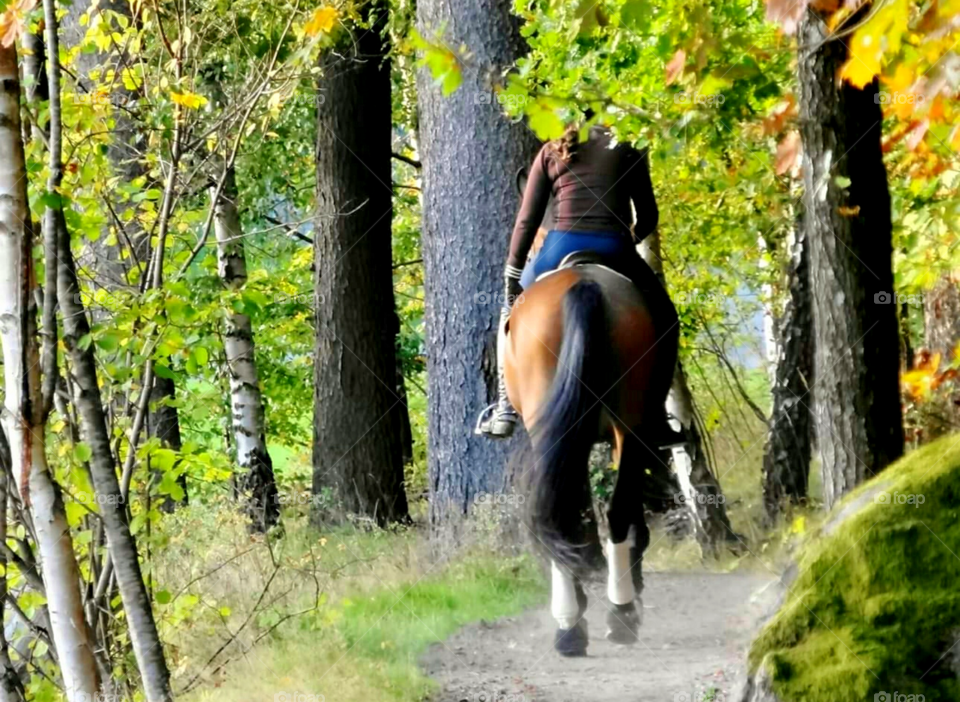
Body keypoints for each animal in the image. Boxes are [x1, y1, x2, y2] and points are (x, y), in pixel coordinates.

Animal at [506, 260, 680, 660]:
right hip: (624, 426)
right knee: (609, 512)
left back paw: (580, 622)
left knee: (570, 515)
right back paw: (611, 615)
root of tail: (582, 284)